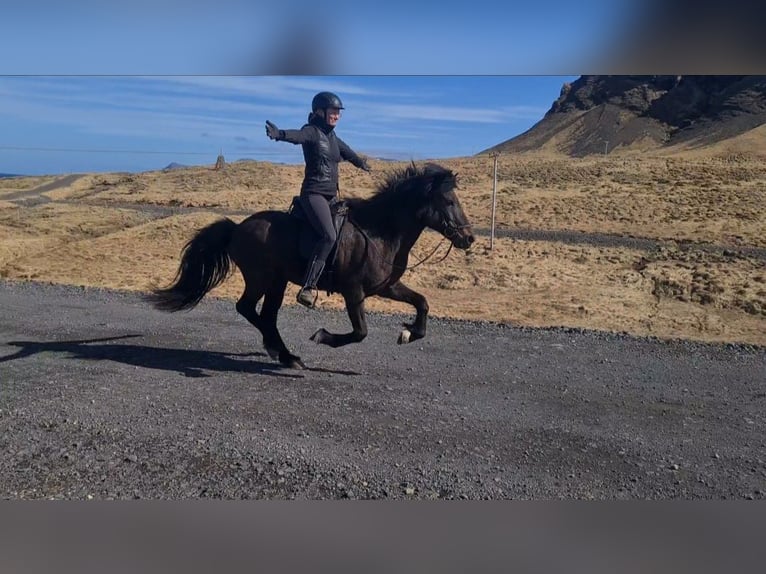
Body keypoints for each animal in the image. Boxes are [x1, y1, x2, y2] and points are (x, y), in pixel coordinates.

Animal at [148, 162, 476, 368]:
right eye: (448, 201)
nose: (469, 237)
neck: (379, 232)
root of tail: (237, 228)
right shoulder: (353, 291)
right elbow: (360, 332)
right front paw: (323, 336)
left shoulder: (387, 287)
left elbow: (422, 303)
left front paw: (409, 333)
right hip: (261, 278)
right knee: (248, 309)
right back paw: (281, 351)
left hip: (277, 282)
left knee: (266, 315)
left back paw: (284, 354)